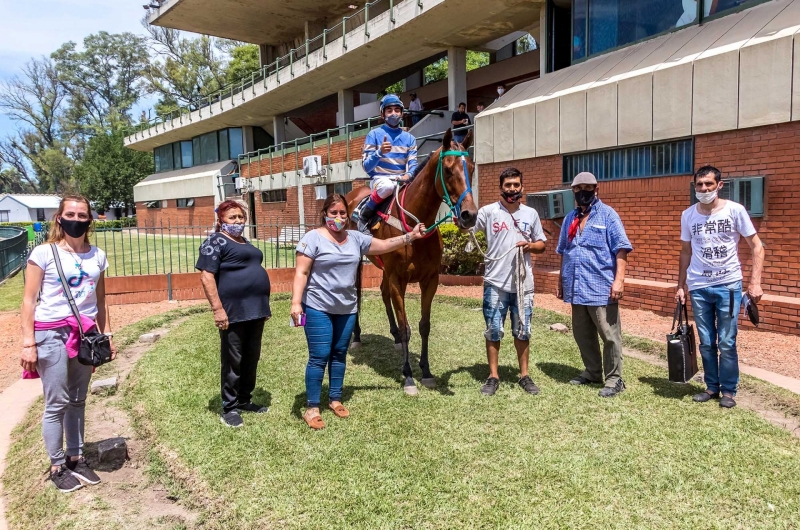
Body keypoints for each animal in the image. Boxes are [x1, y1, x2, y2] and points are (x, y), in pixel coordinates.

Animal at [346, 128, 478, 392]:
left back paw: (394, 337)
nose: (469, 215)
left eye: (471, 167)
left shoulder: (430, 279)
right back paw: (356, 337)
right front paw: (408, 375)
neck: (416, 225)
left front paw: (425, 371)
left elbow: (423, 325)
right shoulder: (399, 279)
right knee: (358, 293)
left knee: (383, 292)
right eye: (448, 170)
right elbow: (406, 326)